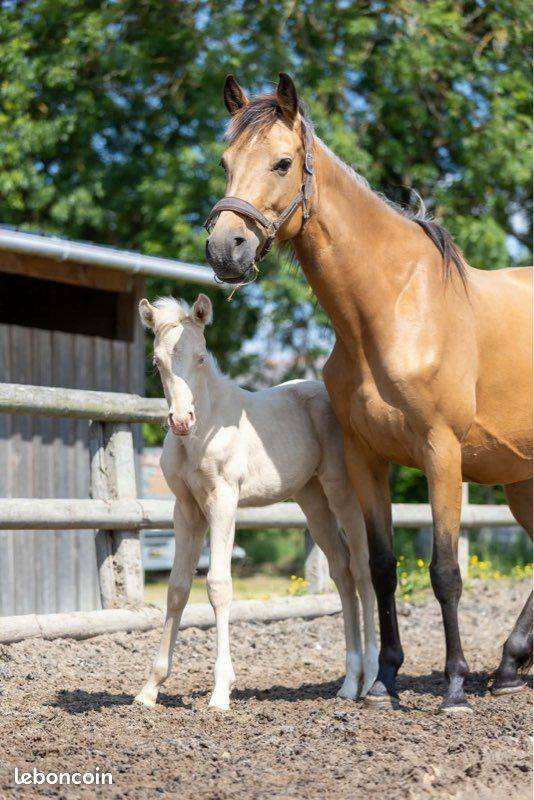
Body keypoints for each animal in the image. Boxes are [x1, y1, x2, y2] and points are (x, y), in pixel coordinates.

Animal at [134, 294, 378, 711]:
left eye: (201, 356)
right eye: (156, 362)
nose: (181, 420)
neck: (202, 432)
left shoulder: (223, 501)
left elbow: (218, 585)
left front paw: (220, 692)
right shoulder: (186, 510)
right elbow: (177, 588)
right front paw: (149, 689)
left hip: (342, 493)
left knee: (362, 570)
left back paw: (370, 679)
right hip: (312, 501)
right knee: (342, 571)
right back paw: (349, 682)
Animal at [204, 73, 533, 714]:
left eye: (282, 162)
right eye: (226, 161)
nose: (225, 249)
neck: (393, 308)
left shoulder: (441, 453)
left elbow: (445, 571)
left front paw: (454, 687)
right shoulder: (366, 458)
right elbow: (381, 567)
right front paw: (384, 680)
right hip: (520, 481)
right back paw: (509, 667)